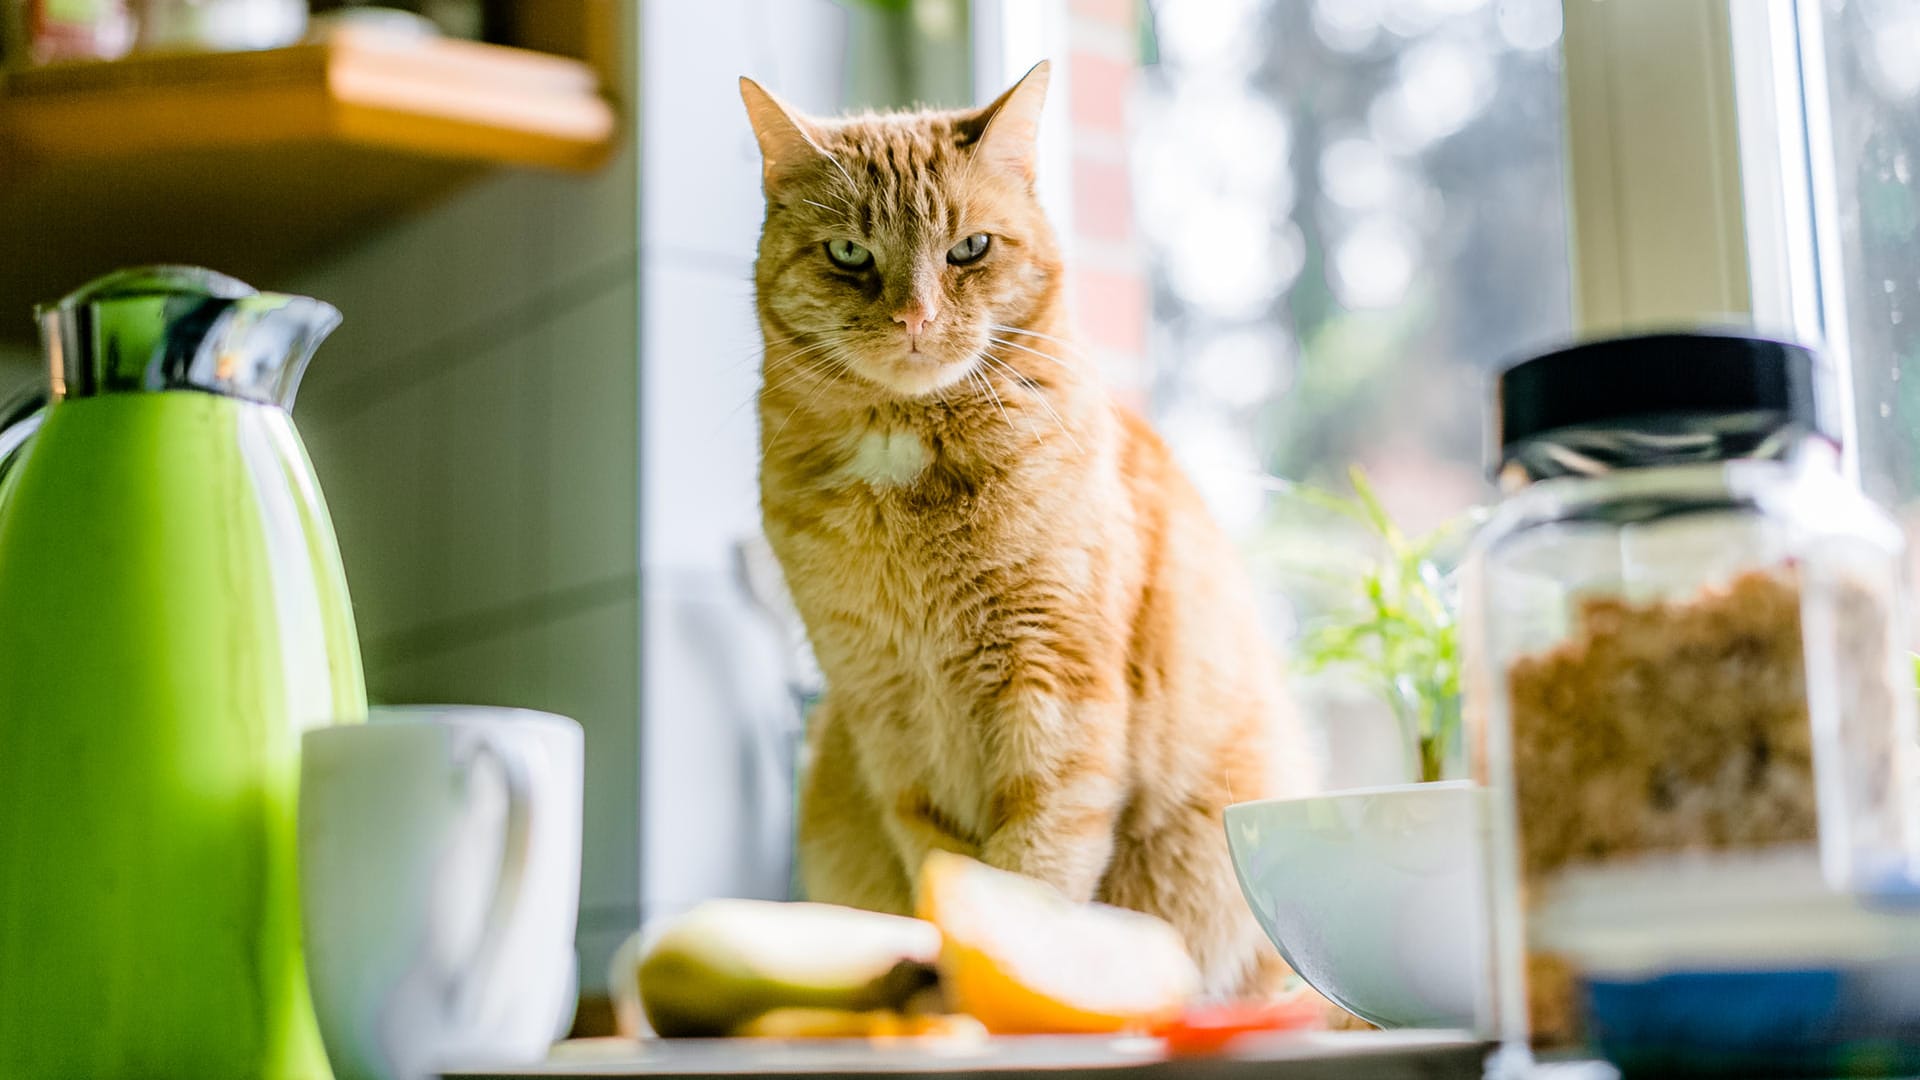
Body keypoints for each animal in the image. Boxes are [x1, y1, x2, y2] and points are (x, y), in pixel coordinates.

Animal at [741, 61, 1313, 991]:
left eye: (969, 249)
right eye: (850, 254)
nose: (914, 319)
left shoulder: (1055, 690)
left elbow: (1033, 871)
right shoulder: (885, 719)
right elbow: (941, 867)